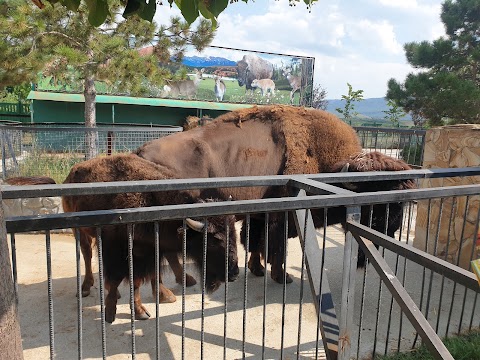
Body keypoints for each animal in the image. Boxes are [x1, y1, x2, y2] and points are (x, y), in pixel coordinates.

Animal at [6, 153, 239, 324]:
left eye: (234, 235)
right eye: (214, 240)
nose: (234, 273)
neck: (152, 201)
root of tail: (69, 176)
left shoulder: (143, 254)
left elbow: (135, 282)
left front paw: (140, 311)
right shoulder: (120, 252)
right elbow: (118, 277)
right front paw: (110, 314)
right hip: (79, 231)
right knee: (87, 256)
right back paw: (86, 287)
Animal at [135, 105, 412, 284]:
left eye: (402, 200)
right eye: (376, 195)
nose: (392, 229)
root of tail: (140, 151)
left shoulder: (260, 215)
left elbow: (255, 242)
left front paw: (257, 269)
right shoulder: (282, 217)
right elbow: (276, 247)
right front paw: (283, 277)